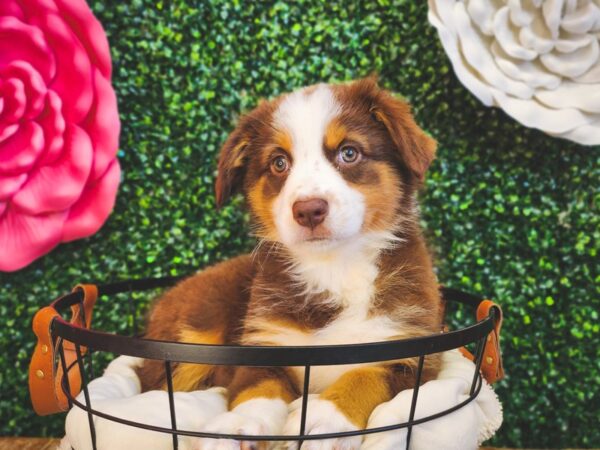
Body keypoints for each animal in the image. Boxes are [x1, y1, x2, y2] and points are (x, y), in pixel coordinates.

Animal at [137, 78, 446, 450]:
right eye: (279, 163)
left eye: (349, 152)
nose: (309, 210)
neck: (334, 267)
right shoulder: (263, 346)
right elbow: (258, 388)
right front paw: (240, 426)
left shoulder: (413, 354)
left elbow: (364, 376)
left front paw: (327, 421)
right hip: (194, 334)